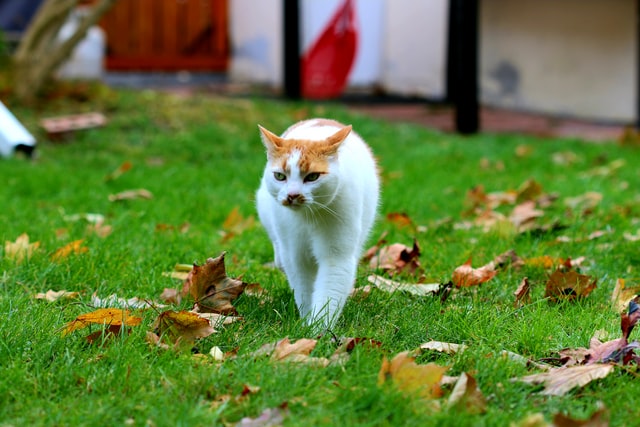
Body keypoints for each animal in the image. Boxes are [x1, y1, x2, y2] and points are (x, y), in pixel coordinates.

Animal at [256, 118, 380, 330]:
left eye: (312, 176)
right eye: (280, 176)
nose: (292, 195)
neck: (308, 218)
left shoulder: (337, 255)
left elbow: (329, 294)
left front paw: (318, 330)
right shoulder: (296, 255)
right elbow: (304, 290)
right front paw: (307, 322)